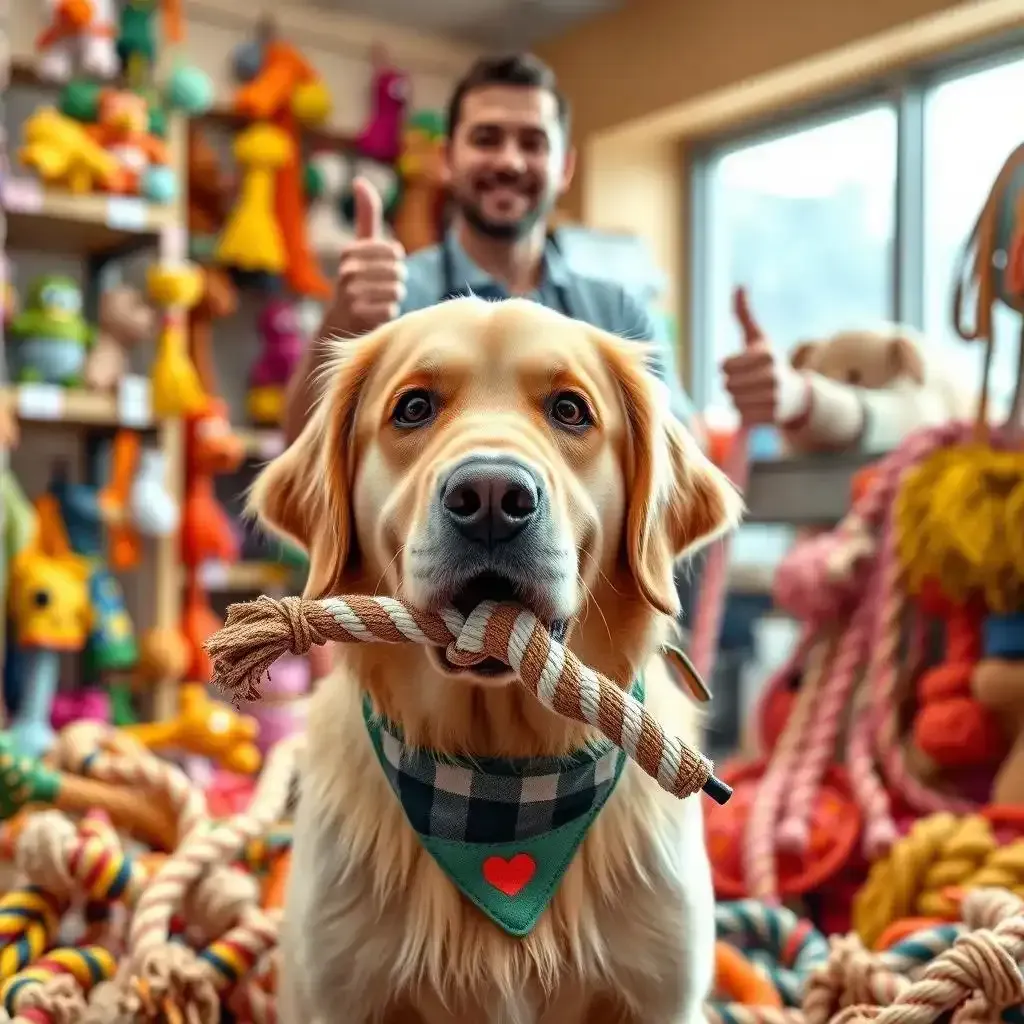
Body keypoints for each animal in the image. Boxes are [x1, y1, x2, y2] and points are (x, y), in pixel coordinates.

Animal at [251, 296, 741, 1024]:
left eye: (570, 409)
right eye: (413, 407)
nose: (489, 497)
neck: (502, 789)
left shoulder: (663, 995)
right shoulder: (339, 994)